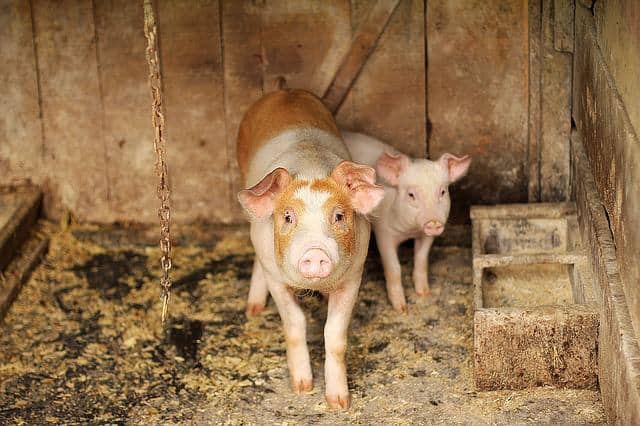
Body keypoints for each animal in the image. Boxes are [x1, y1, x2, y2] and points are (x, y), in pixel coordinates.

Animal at [237, 89, 384, 409]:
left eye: (339, 216)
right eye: (288, 217)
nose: (315, 252)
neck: (310, 167)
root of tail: (284, 90)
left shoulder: (354, 276)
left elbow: (335, 336)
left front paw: (339, 403)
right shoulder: (276, 279)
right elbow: (295, 324)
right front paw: (302, 389)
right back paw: (253, 310)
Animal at [342, 131, 471, 312]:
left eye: (443, 192)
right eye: (411, 195)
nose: (433, 222)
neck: (409, 231)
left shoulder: (426, 235)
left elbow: (422, 259)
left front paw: (424, 293)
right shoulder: (384, 233)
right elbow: (394, 268)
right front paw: (401, 308)